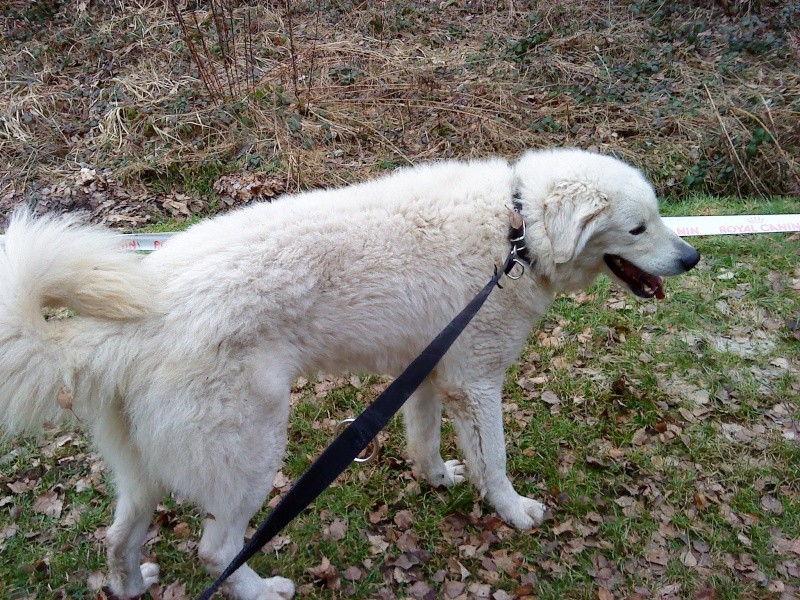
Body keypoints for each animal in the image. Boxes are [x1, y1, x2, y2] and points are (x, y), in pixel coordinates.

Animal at [0, 148, 700, 596]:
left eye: (659, 217)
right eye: (638, 228)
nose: (692, 257)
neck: (516, 231)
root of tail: (126, 324)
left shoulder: (430, 374)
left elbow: (425, 440)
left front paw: (435, 477)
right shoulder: (477, 384)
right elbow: (495, 465)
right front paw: (513, 512)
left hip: (144, 473)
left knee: (118, 539)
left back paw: (130, 585)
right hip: (250, 453)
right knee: (215, 551)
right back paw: (265, 591)